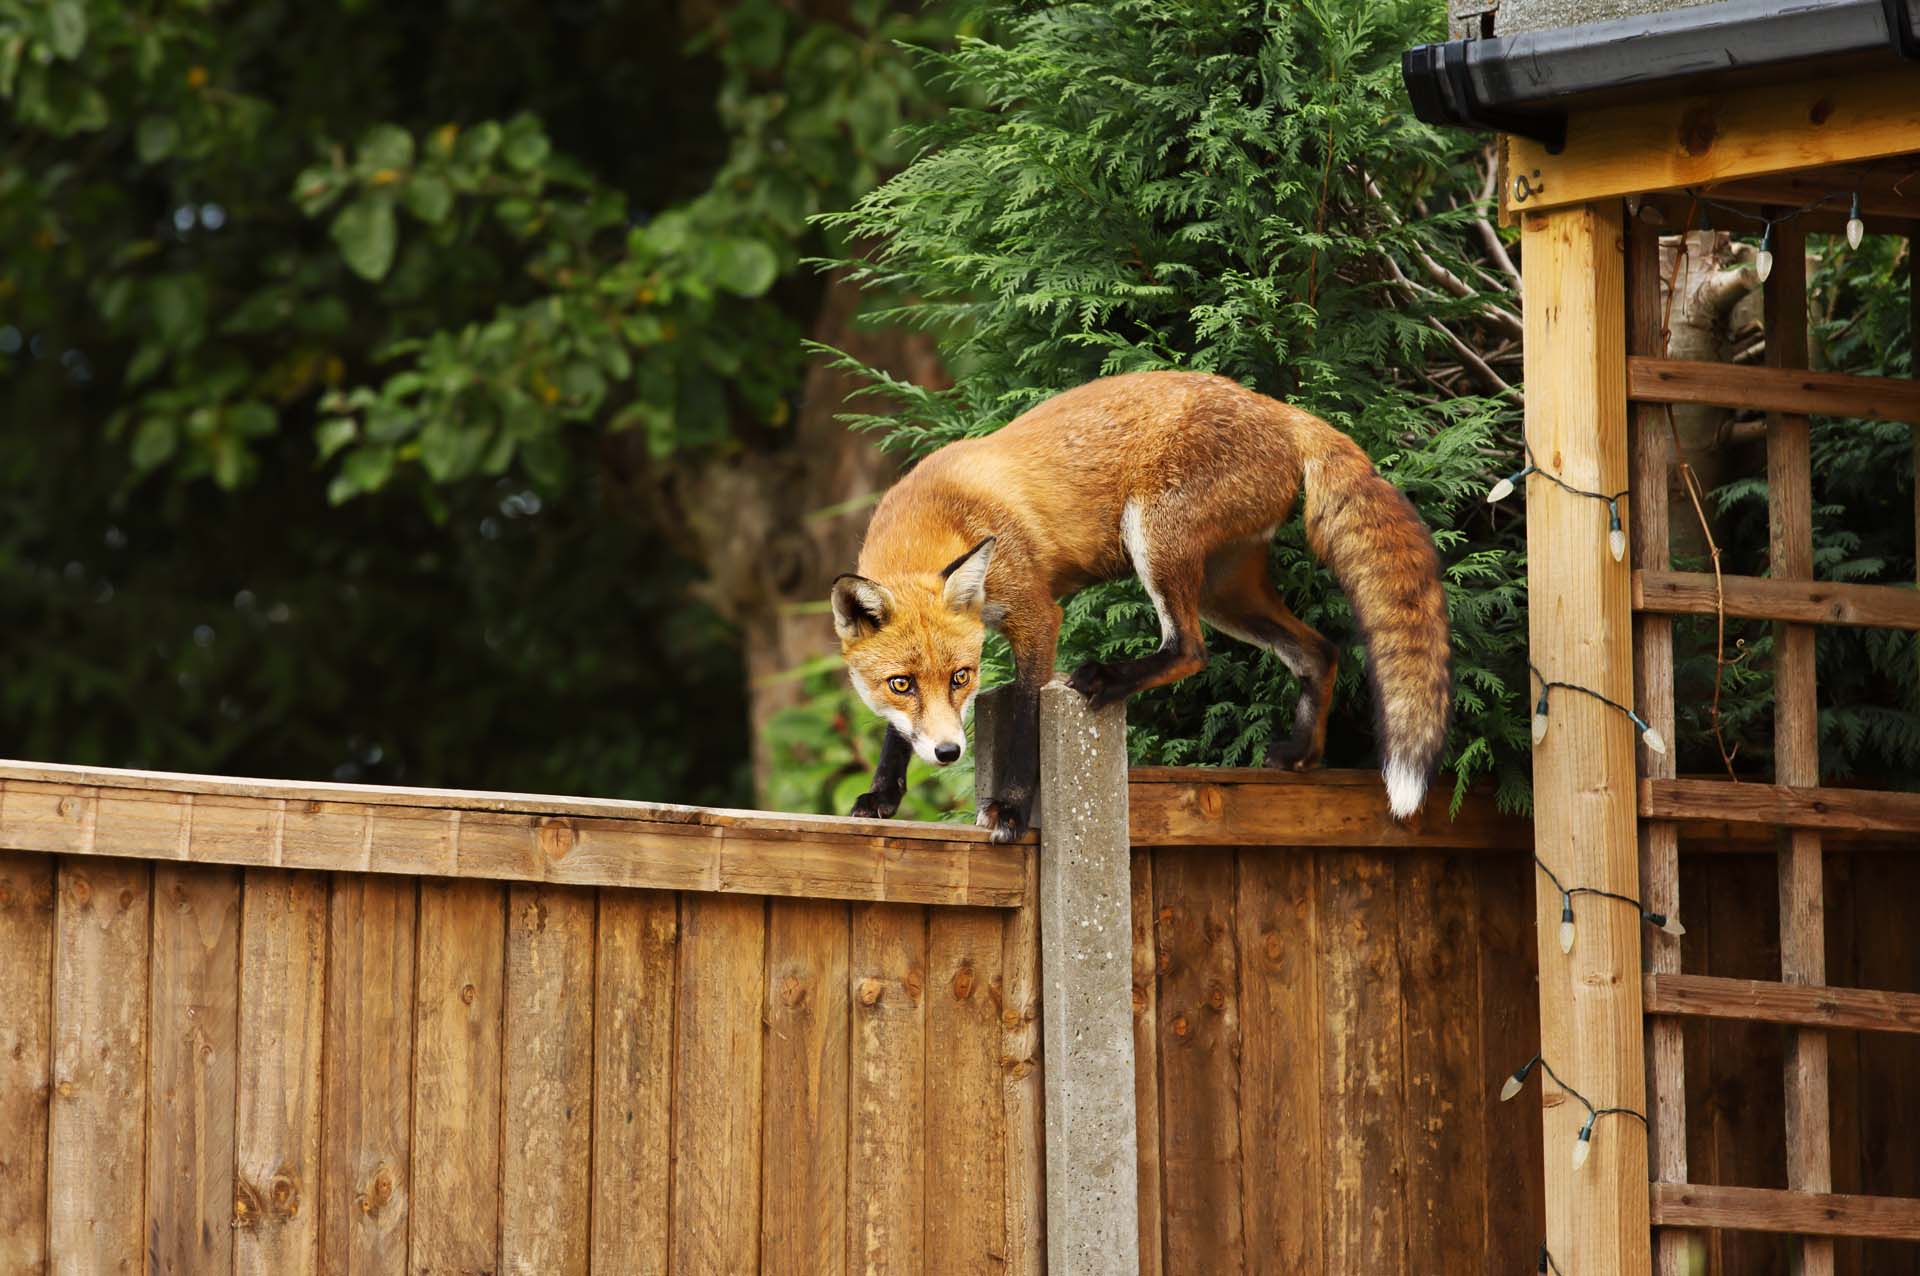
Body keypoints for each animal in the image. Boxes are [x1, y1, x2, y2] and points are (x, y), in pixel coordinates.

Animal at [829, 370, 1451, 844]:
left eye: (962, 677)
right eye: (901, 684)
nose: (949, 752)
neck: (940, 514)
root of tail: (1282, 409)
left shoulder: (1038, 616)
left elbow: (1027, 716)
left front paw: (1010, 808)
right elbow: (896, 732)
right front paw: (882, 794)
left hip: (1155, 541)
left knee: (1191, 650)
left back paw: (1109, 678)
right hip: (1225, 591)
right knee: (1318, 651)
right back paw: (1303, 753)